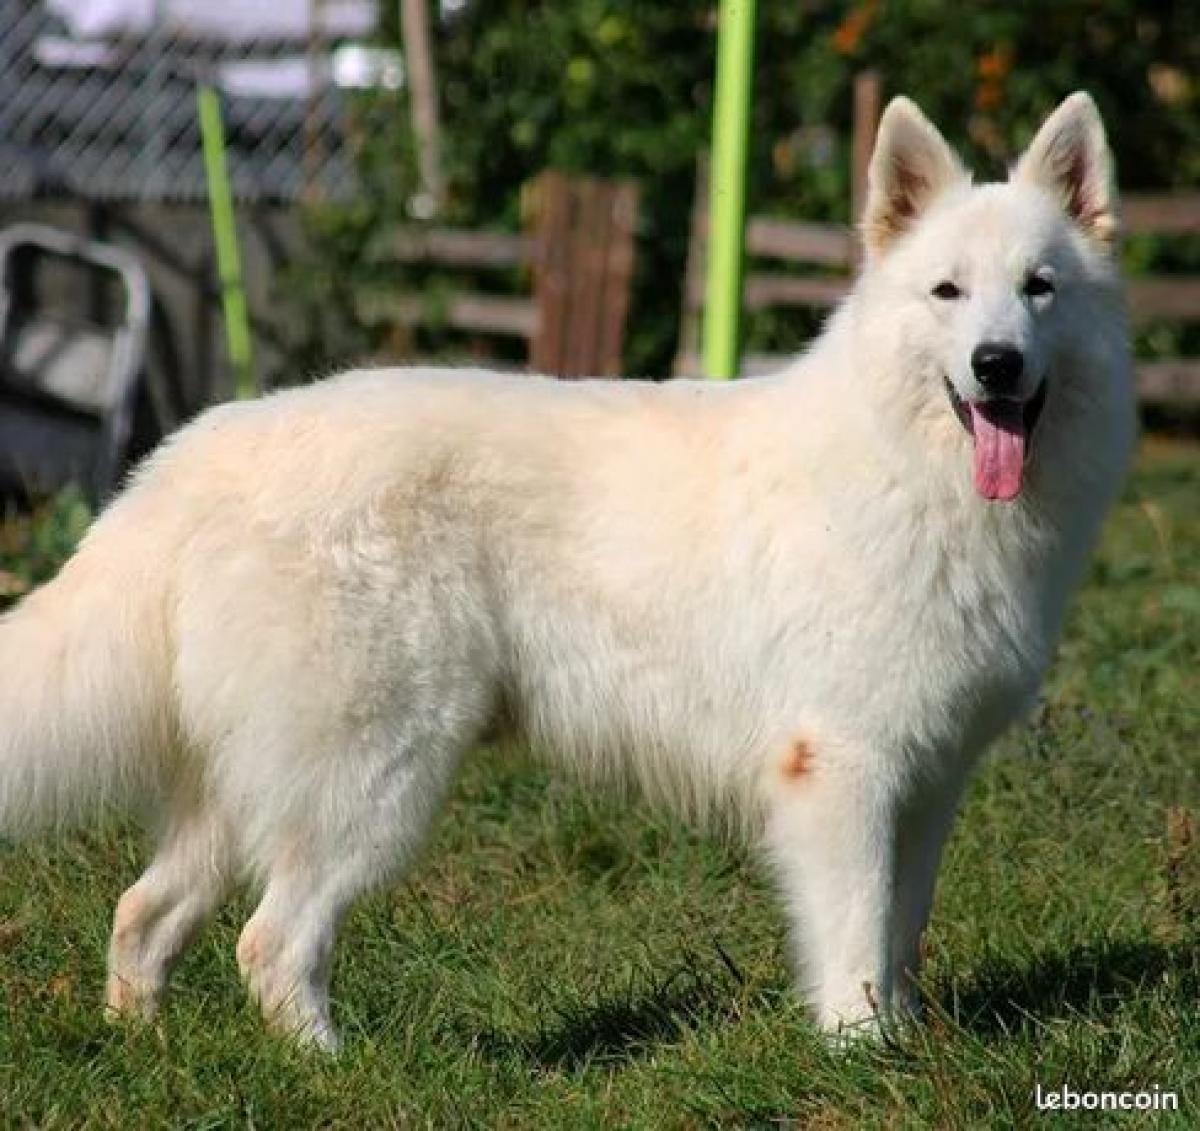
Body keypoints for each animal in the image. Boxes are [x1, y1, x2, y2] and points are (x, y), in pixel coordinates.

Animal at [0, 93, 1133, 1049]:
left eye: (1039, 290)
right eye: (947, 292)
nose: (996, 365)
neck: (909, 467)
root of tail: (195, 452)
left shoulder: (928, 782)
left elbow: (899, 936)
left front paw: (905, 1046)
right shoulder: (841, 774)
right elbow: (854, 941)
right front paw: (862, 1062)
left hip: (243, 791)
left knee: (143, 915)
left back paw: (142, 1046)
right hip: (373, 780)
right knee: (270, 943)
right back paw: (336, 1069)